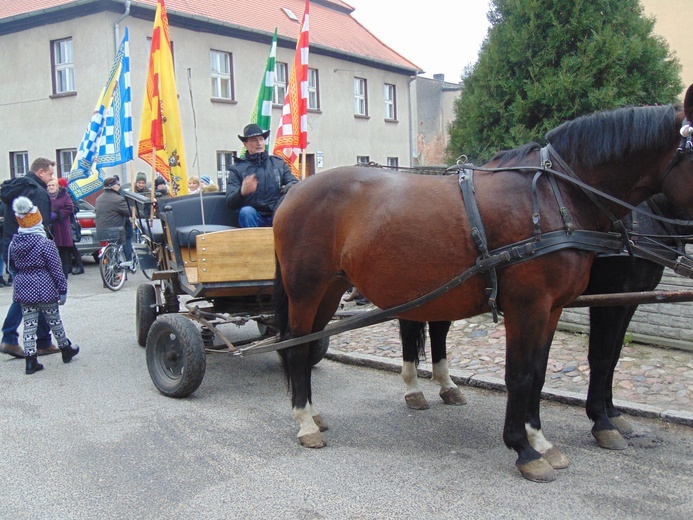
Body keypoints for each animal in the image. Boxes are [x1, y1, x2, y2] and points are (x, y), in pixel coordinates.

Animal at [394, 192, 692, 450]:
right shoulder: (612, 299)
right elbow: (602, 358)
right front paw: (602, 421)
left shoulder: (630, 300)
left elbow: (614, 357)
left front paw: (613, 414)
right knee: (411, 327)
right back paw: (413, 389)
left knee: (438, 327)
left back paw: (447, 385)